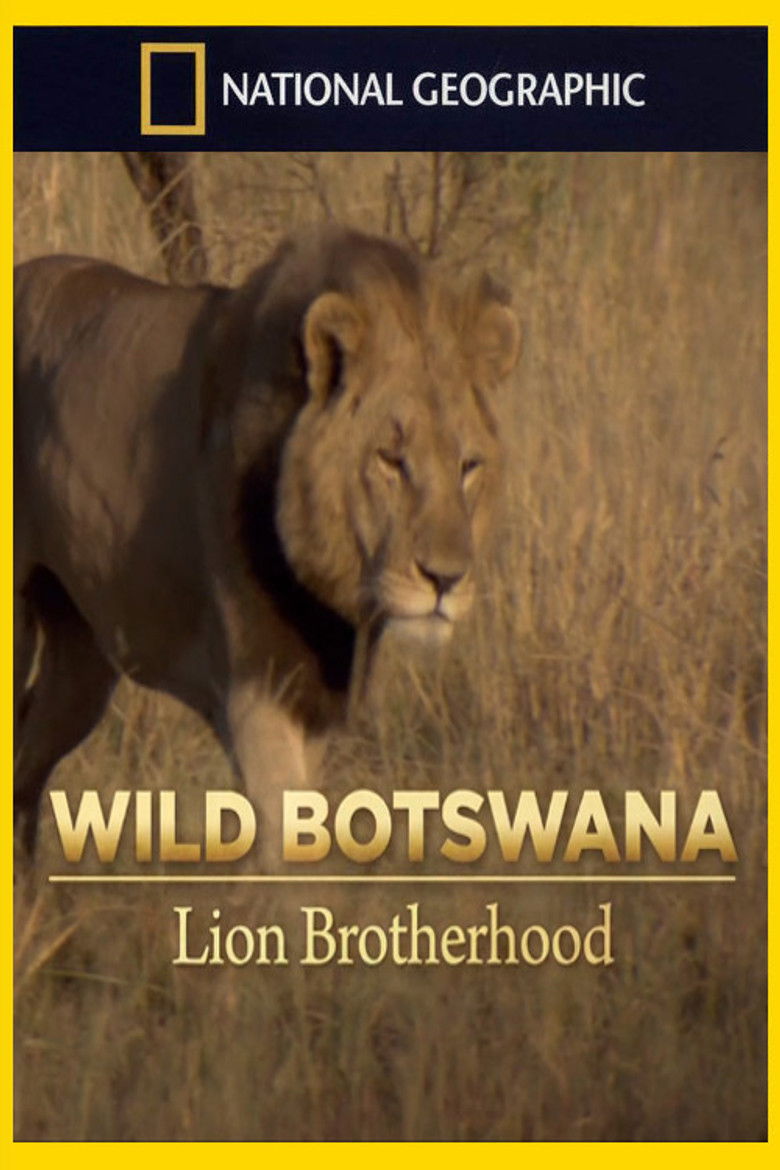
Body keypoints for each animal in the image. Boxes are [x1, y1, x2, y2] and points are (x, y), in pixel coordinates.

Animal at [14, 226, 519, 854]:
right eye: (391, 460)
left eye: (468, 466)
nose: (445, 579)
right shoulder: (257, 689)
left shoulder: (318, 700)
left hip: (82, 659)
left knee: (27, 761)